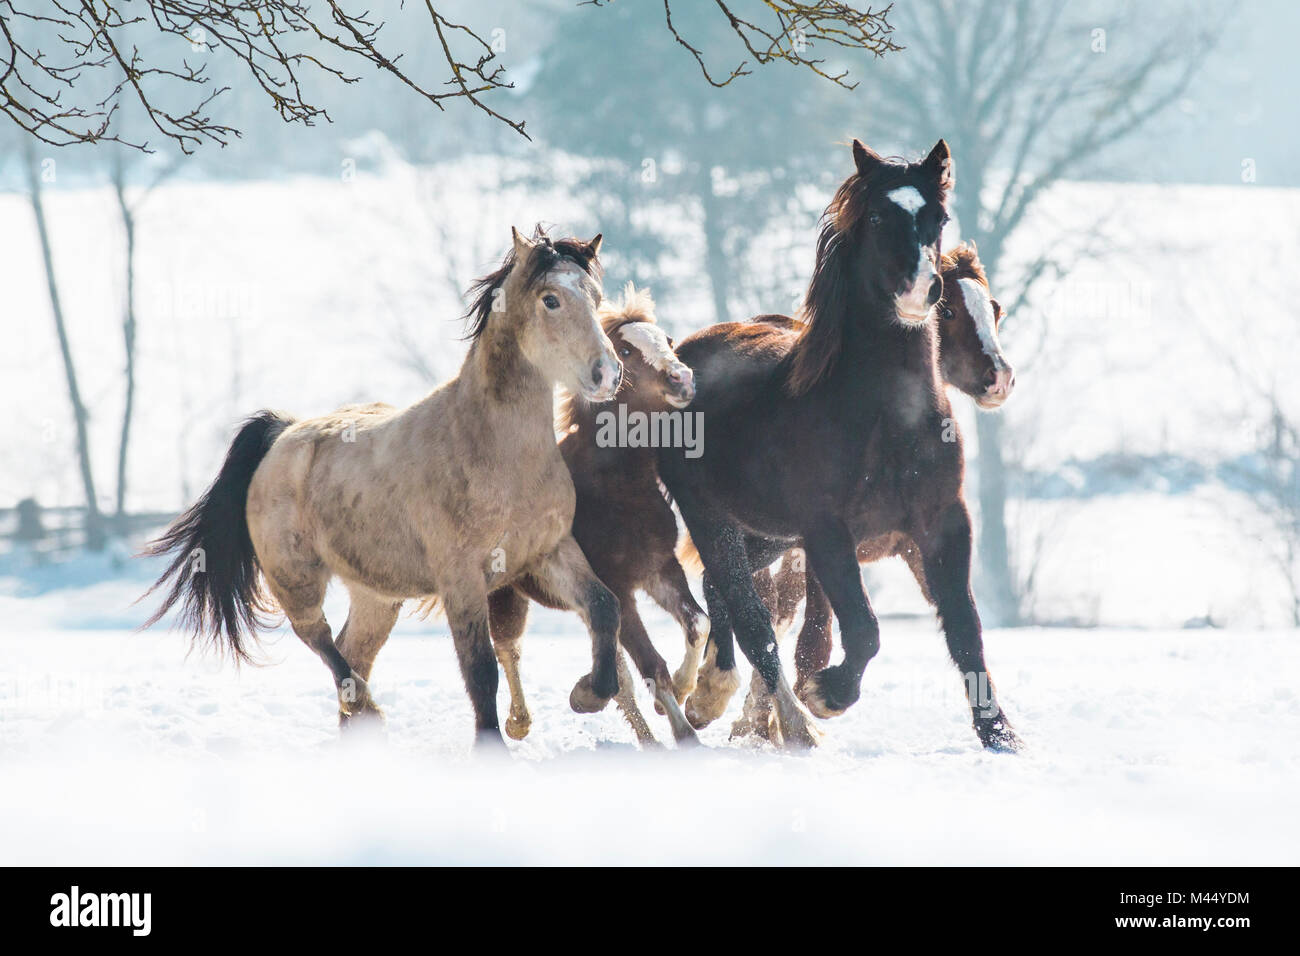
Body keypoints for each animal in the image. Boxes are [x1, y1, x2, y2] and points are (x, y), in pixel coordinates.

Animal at [142, 227, 624, 749]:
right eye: (550, 299)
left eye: (597, 297)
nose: (607, 373)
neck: (496, 452)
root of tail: (282, 435)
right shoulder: (461, 578)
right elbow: (480, 671)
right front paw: (492, 745)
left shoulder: (549, 551)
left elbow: (604, 607)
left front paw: (588, 694)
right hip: (296, 581)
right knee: (321, 641)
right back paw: (367, 709)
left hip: (377, 597)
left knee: (353, 650)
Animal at [665, 140, 1019, 754]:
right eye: (877, 217)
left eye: (938, 218)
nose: (921, 290)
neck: (889, 422)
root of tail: (685, 349)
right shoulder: (828, 533)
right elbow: (856, 629)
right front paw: (826, 693)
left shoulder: (941, 525)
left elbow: (965, 628)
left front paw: (1000, 735)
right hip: (712, 518)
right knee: (750, 616)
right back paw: (762, 714)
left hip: (767, 533)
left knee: (726, 593)